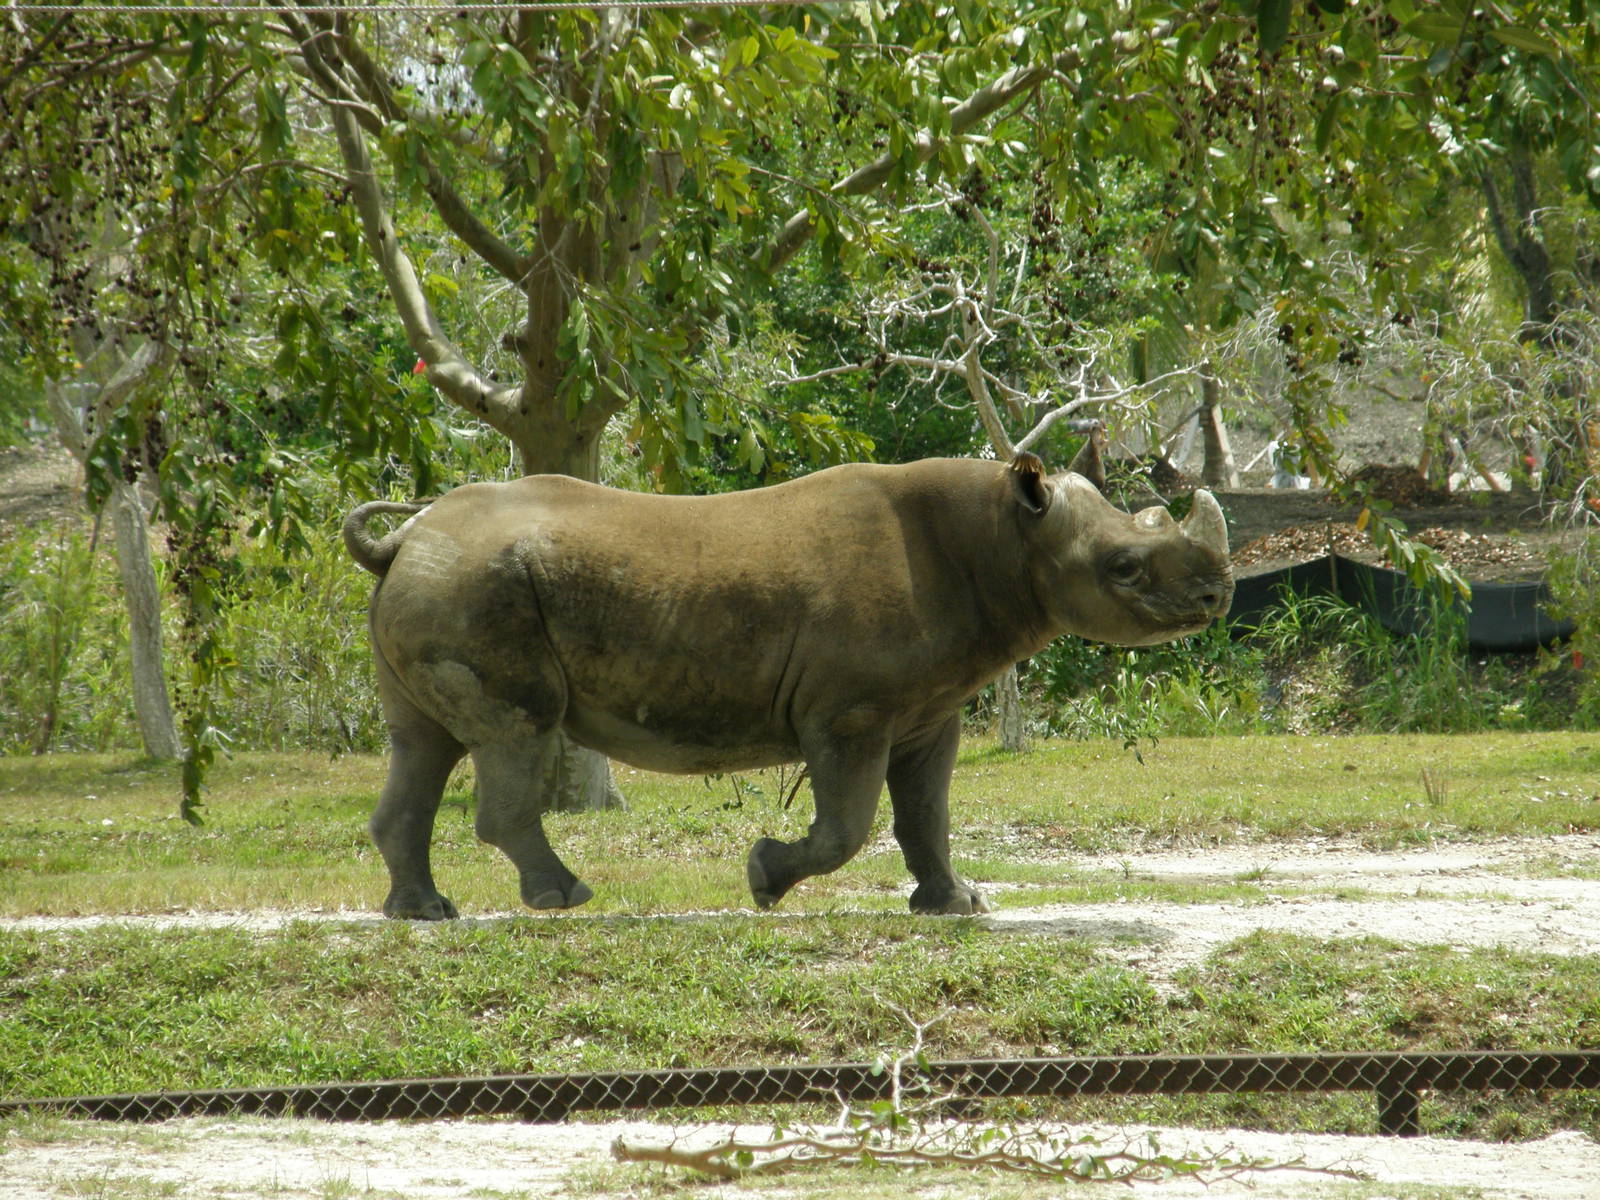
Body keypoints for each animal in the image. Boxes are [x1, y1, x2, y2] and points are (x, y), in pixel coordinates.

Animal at [343, 446, 1233, 920]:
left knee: (423, 743)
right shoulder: (850, 710)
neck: (1004, 536)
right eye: (1124, 568)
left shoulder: (927, 710)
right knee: (516, 729)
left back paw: (424, 914)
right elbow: (847, 826)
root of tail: (403, 540)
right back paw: (565, 897)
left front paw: (956, 904)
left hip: (445, 581)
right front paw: (764, 880)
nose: (1217, 598)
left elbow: (927, 814)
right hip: (476, 586)